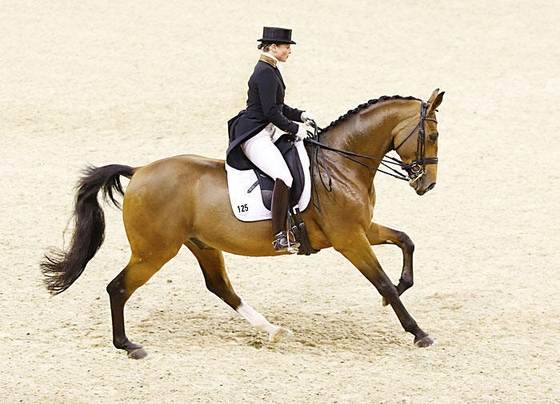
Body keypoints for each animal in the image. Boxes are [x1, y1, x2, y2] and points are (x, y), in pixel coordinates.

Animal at [41, 89, 444, 360]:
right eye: (433, 135)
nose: (427, 184)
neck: (341, 163)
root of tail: (139, 171)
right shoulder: (349, 238)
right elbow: (382, 281)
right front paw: (418, 332)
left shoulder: (362, 229)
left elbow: (406, 241)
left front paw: (400, 288)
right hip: (155, 251)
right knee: (119, 288)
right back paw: (128, 346)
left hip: (201, 245)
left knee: (220, 287)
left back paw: (273, 330)